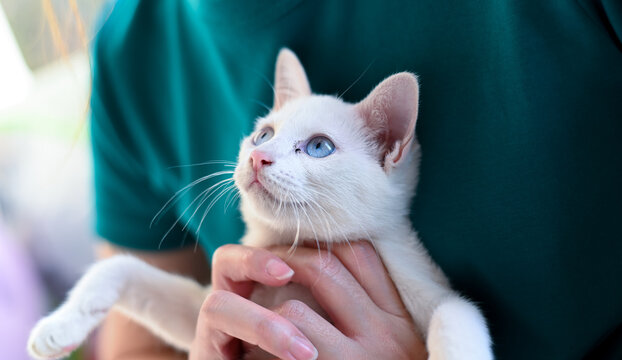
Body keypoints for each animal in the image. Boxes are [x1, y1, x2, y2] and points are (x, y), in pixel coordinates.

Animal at [28, 50, 498, 360]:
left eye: (320, 147)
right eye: (264, 134)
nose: (258, 157)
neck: (295, 244)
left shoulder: (421, 281)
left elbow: (456, 312)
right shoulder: (212, 307)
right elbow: (123, 270)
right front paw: (59, 325)